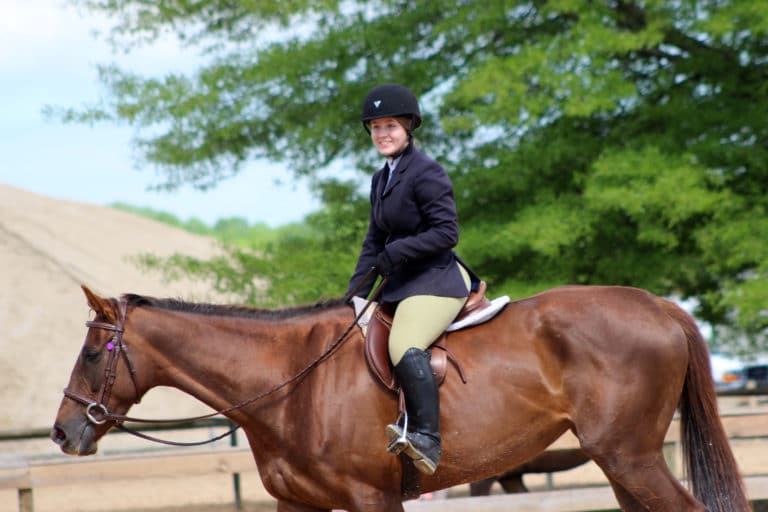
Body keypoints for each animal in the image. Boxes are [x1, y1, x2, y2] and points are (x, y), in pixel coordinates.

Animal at [54, 286, 752, 510]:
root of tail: (657, 305)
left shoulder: (373, 498)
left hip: (632, 458)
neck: (292, 382)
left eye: (90, 352)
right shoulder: (297, 505)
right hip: (619, 464)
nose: (63, 432)